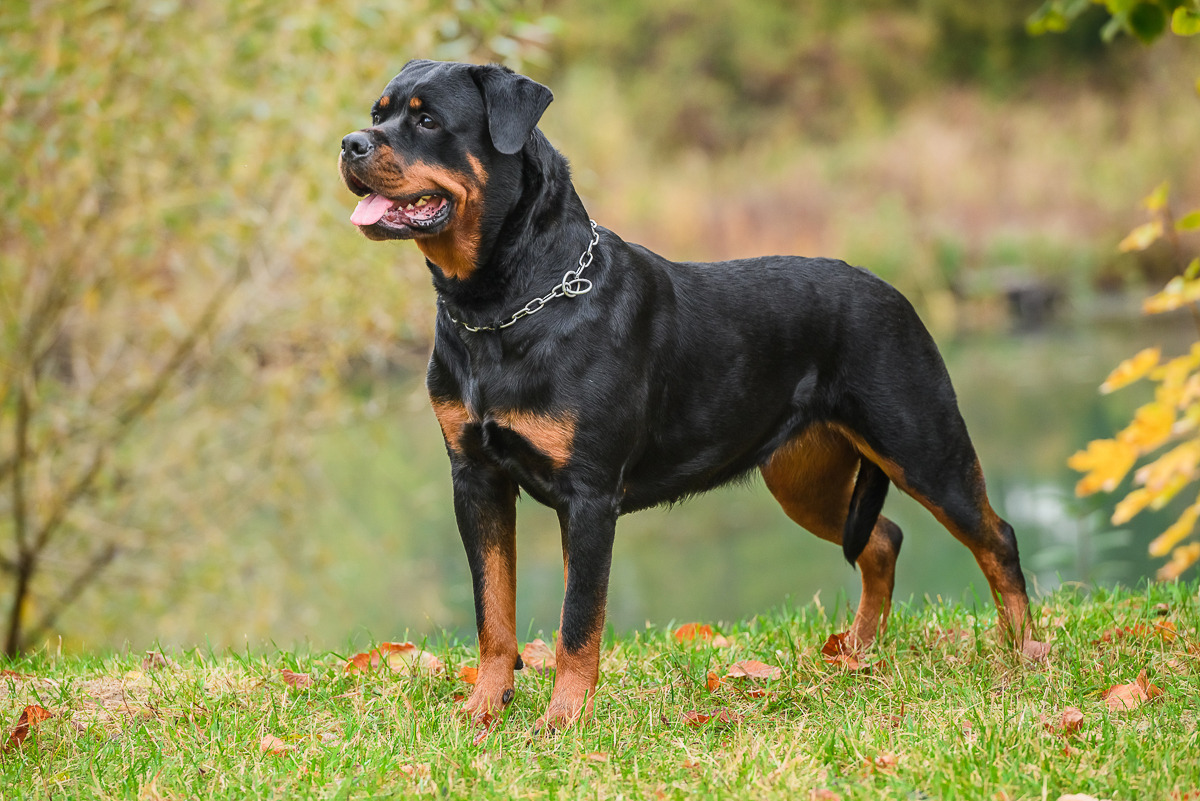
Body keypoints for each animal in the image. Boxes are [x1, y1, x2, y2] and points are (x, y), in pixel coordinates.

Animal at [336, 59, 1041, 729]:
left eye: (428, 120)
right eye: (378, 114)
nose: (349, 143)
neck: (502, 306)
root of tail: (898, 292)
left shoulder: (589, 495)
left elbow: (577, 623)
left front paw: (563, 720)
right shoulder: (476, 477)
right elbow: (494, 613)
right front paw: (484, 709)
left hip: (922, 443)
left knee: (996, 537)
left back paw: (1026, 656)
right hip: (805, 479)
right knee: (883, 538)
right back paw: (859, 654)